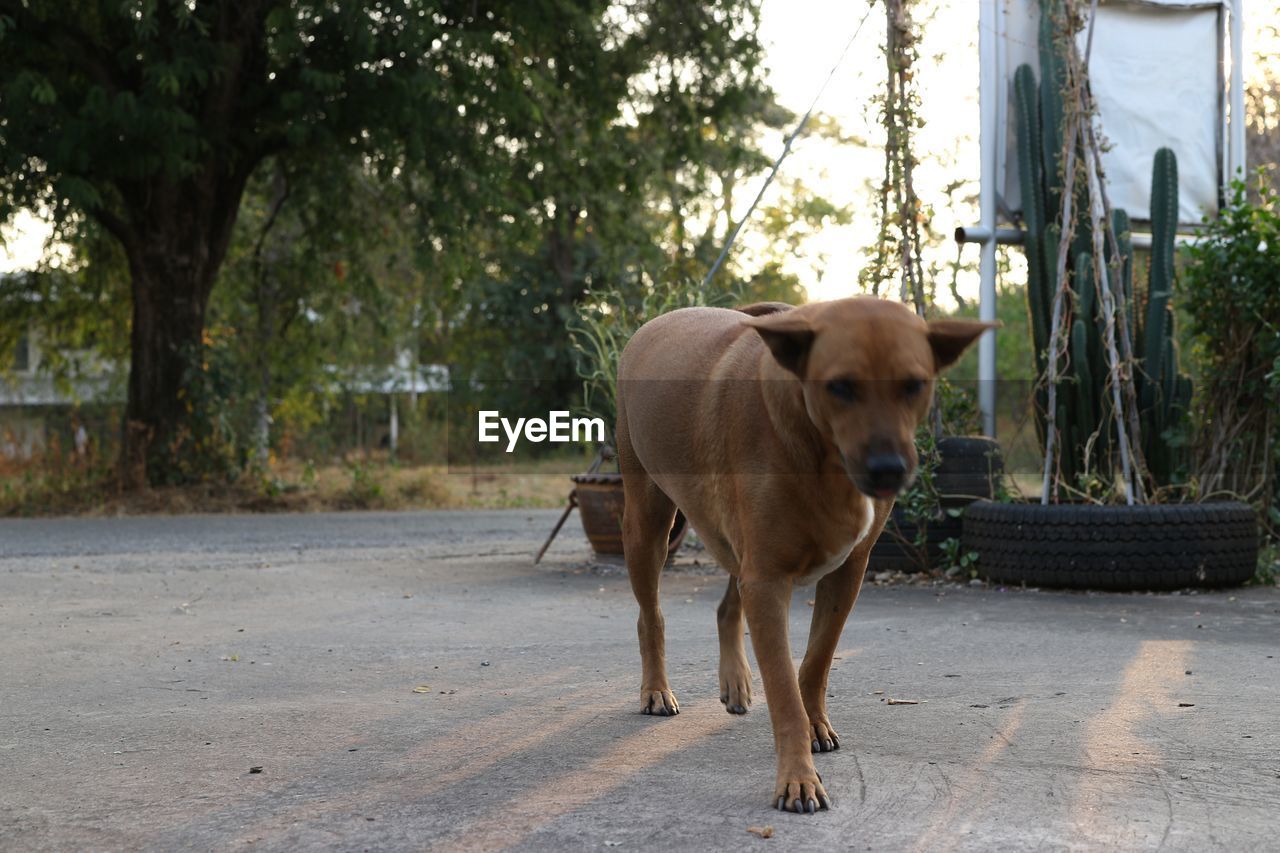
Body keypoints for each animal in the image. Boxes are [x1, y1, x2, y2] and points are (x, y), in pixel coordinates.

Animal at [614, 297, 993, 809]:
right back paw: (656, 689)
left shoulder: (845, 572)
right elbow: (784, 691)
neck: (821, 451)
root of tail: (661, 319)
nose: (888, 469)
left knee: (727, 605)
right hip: (649, 522)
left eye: (913, 384)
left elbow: (815, 663)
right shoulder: (768, 579)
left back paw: (735, 681)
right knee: (649, 615)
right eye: (839, 386)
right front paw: (797, 777)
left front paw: (816, 724)